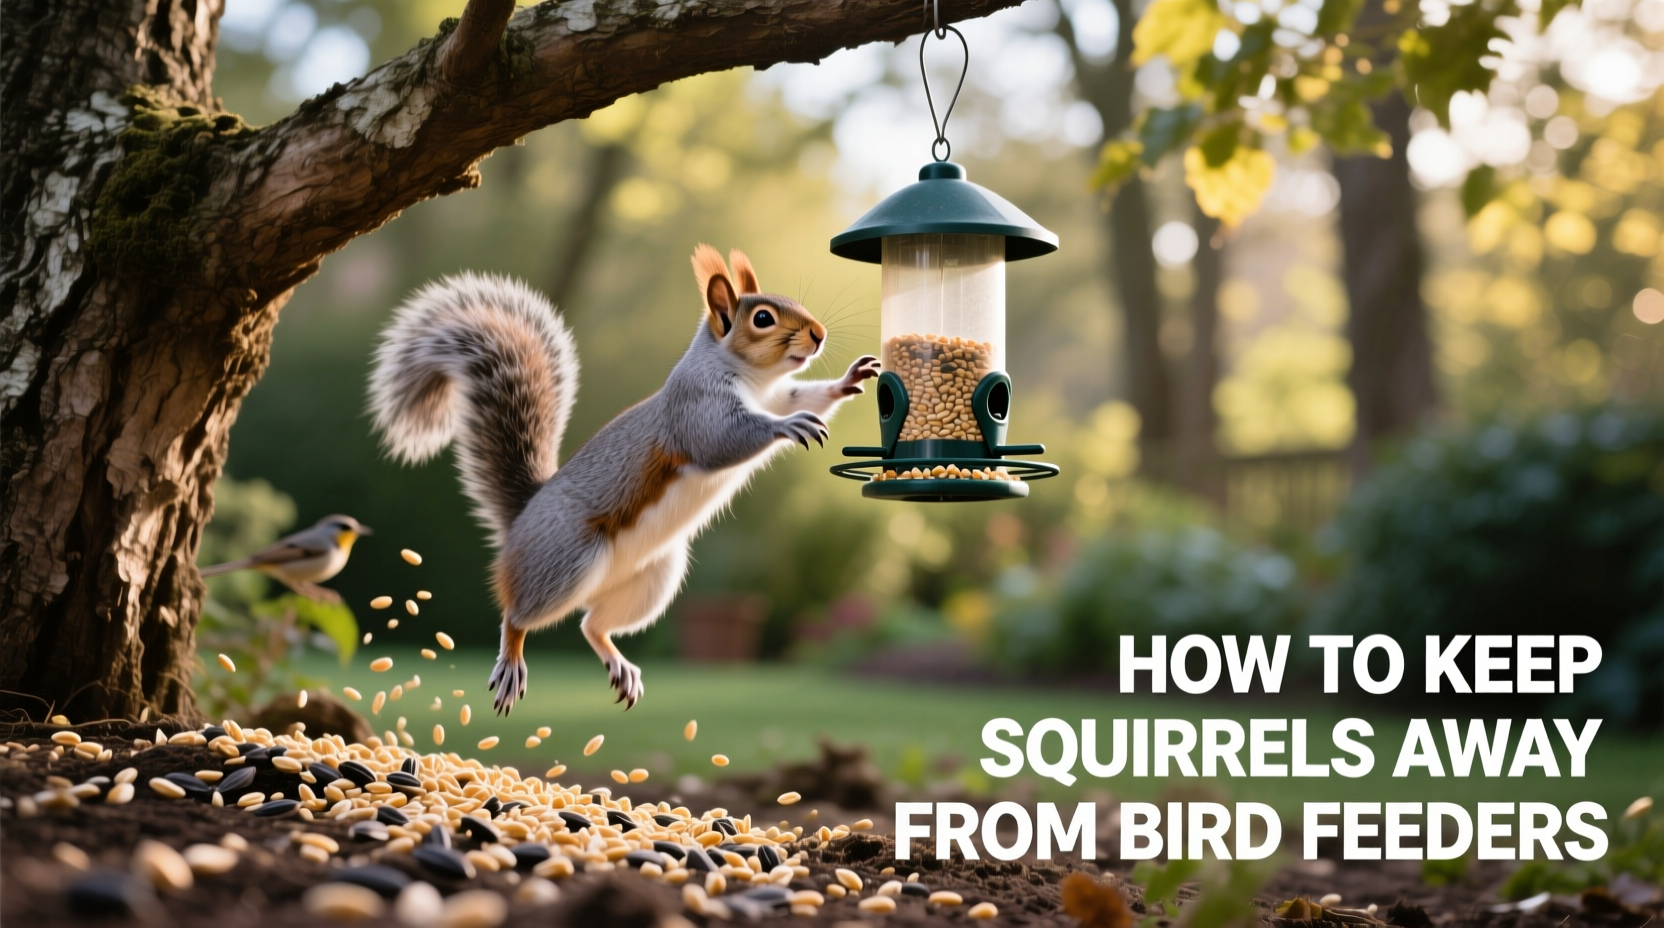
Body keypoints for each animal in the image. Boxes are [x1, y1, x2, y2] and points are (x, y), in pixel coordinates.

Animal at [368, 245, 880, 714]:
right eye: (762, 318)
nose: (818, 335)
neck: (754, 380)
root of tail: (521, 520)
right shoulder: (697, 408)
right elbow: (723, 439)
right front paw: (787, 427)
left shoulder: (778, 393)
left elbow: (805, 395)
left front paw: (844, 381)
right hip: (566, 558)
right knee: (518, 614)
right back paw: (512, 658)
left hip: (655, 575)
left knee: (590, 625)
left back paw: (619, 664)